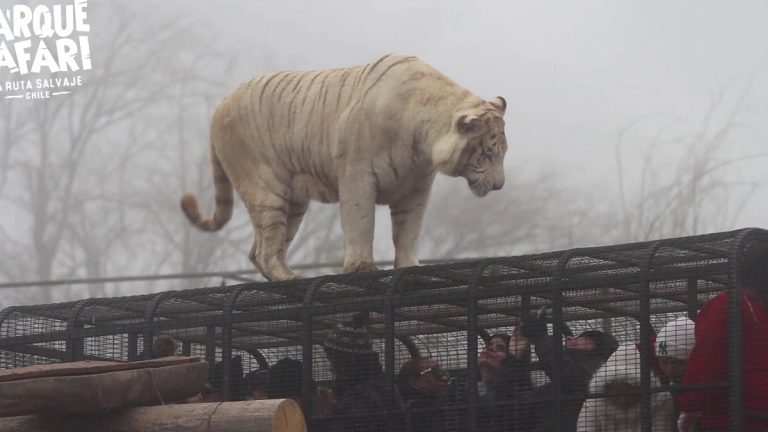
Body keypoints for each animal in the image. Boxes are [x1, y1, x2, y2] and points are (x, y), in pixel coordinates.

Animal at [180, 53, 508, 281]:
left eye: (503, 153)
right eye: (487, 155)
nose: (499, 186)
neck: (422, 139)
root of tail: (219, 105)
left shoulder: (416, 187)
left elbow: (408, 229)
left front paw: (409, 265)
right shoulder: (358, 173)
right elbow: (360, 221)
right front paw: (361, 267)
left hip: (293, 202)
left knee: (258, 251)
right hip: (267, 187)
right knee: (264, 249)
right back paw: (290, 277)